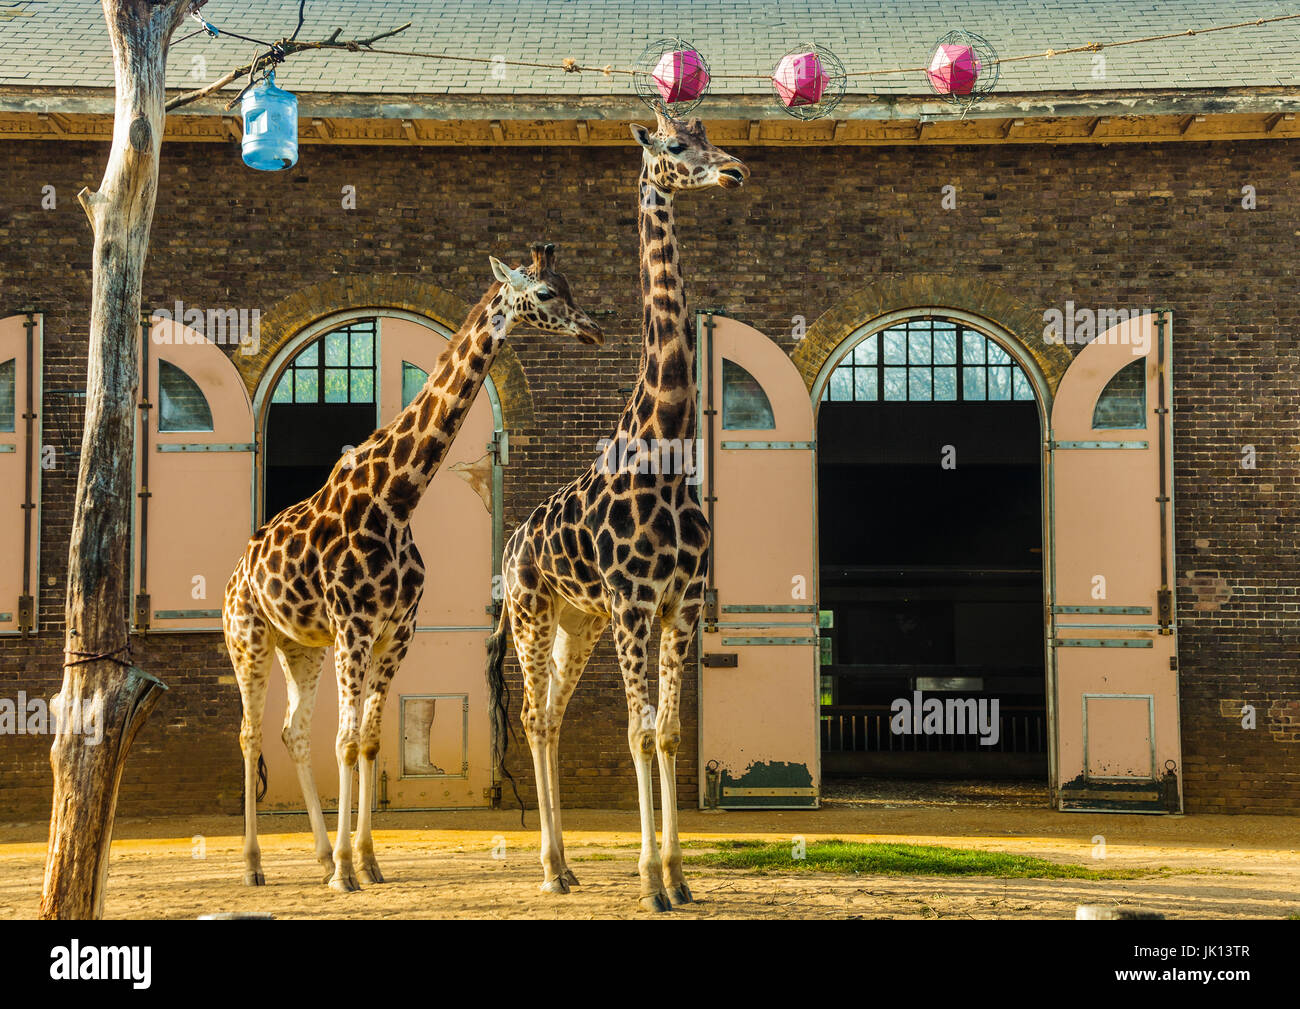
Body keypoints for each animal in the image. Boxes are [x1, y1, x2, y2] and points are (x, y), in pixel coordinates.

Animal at [224, 245, 603, 889]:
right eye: (545, 293)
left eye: (571, 284)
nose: (594, 330)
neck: (396, 499)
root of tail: (232, 576)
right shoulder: (355, 626)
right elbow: (346, 741)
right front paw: (346, 873)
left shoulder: (396, 632)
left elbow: (370, 741)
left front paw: (365, 862)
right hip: (248, 636)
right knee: (251, 734)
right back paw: (253, 866)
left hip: (300, 646)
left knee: (292, 730)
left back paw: (320, 853)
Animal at [486, 114, 754, 910]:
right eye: (673, 148)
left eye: (710, 132)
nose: (734, 170)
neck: (664, 442)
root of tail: (511, 542)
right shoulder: (635, 603)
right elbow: (637, 733)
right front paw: (649, 881)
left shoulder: (679, 606)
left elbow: (666, 733)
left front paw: (679, 875)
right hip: (533, 613)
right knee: (532, 715)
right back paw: (549, 868)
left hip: (580, 623)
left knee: (552, 716)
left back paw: (567, 866)